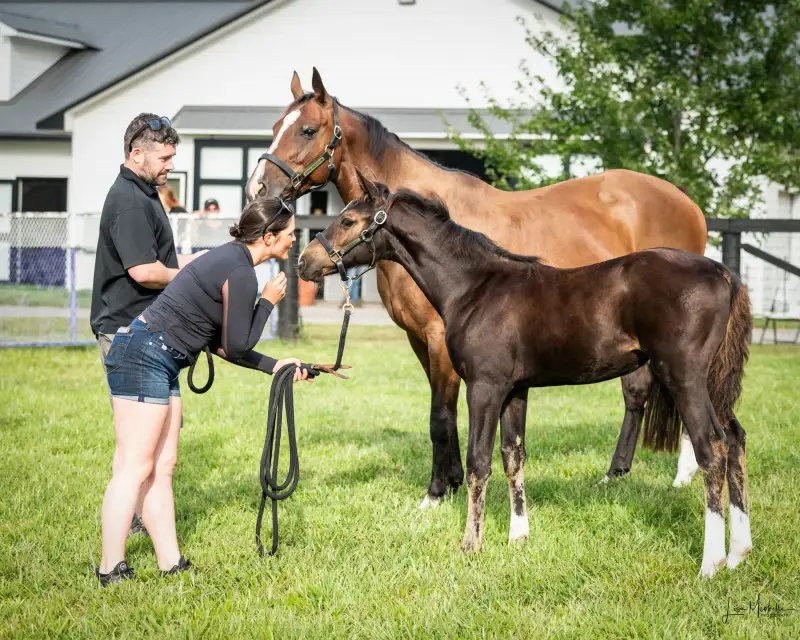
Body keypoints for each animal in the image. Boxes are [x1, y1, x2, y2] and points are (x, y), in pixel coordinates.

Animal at [246, 68, 709, 505]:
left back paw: (682, 477)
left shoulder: (438, 337)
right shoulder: (420, 339)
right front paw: (451, 480)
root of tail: (686, 202)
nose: (258, 192)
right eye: (275, 126)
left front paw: (436, 492)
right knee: (638, 393)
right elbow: (443, 414)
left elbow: (440, 415)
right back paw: (617, 473)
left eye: (308, 130)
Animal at [298, 172, 752, 578]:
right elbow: (513, 456)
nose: (306, 262)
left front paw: (471, 543)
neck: (474, 287)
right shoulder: (516, 390)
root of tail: (724, 274)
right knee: (735, 439)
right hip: (712, 383)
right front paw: (518, 538)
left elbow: (479, 460)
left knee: (712, 449)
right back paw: (739, 553)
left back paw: (710, 564)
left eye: (348, 220)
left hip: (684, 377)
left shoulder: (484, 387)